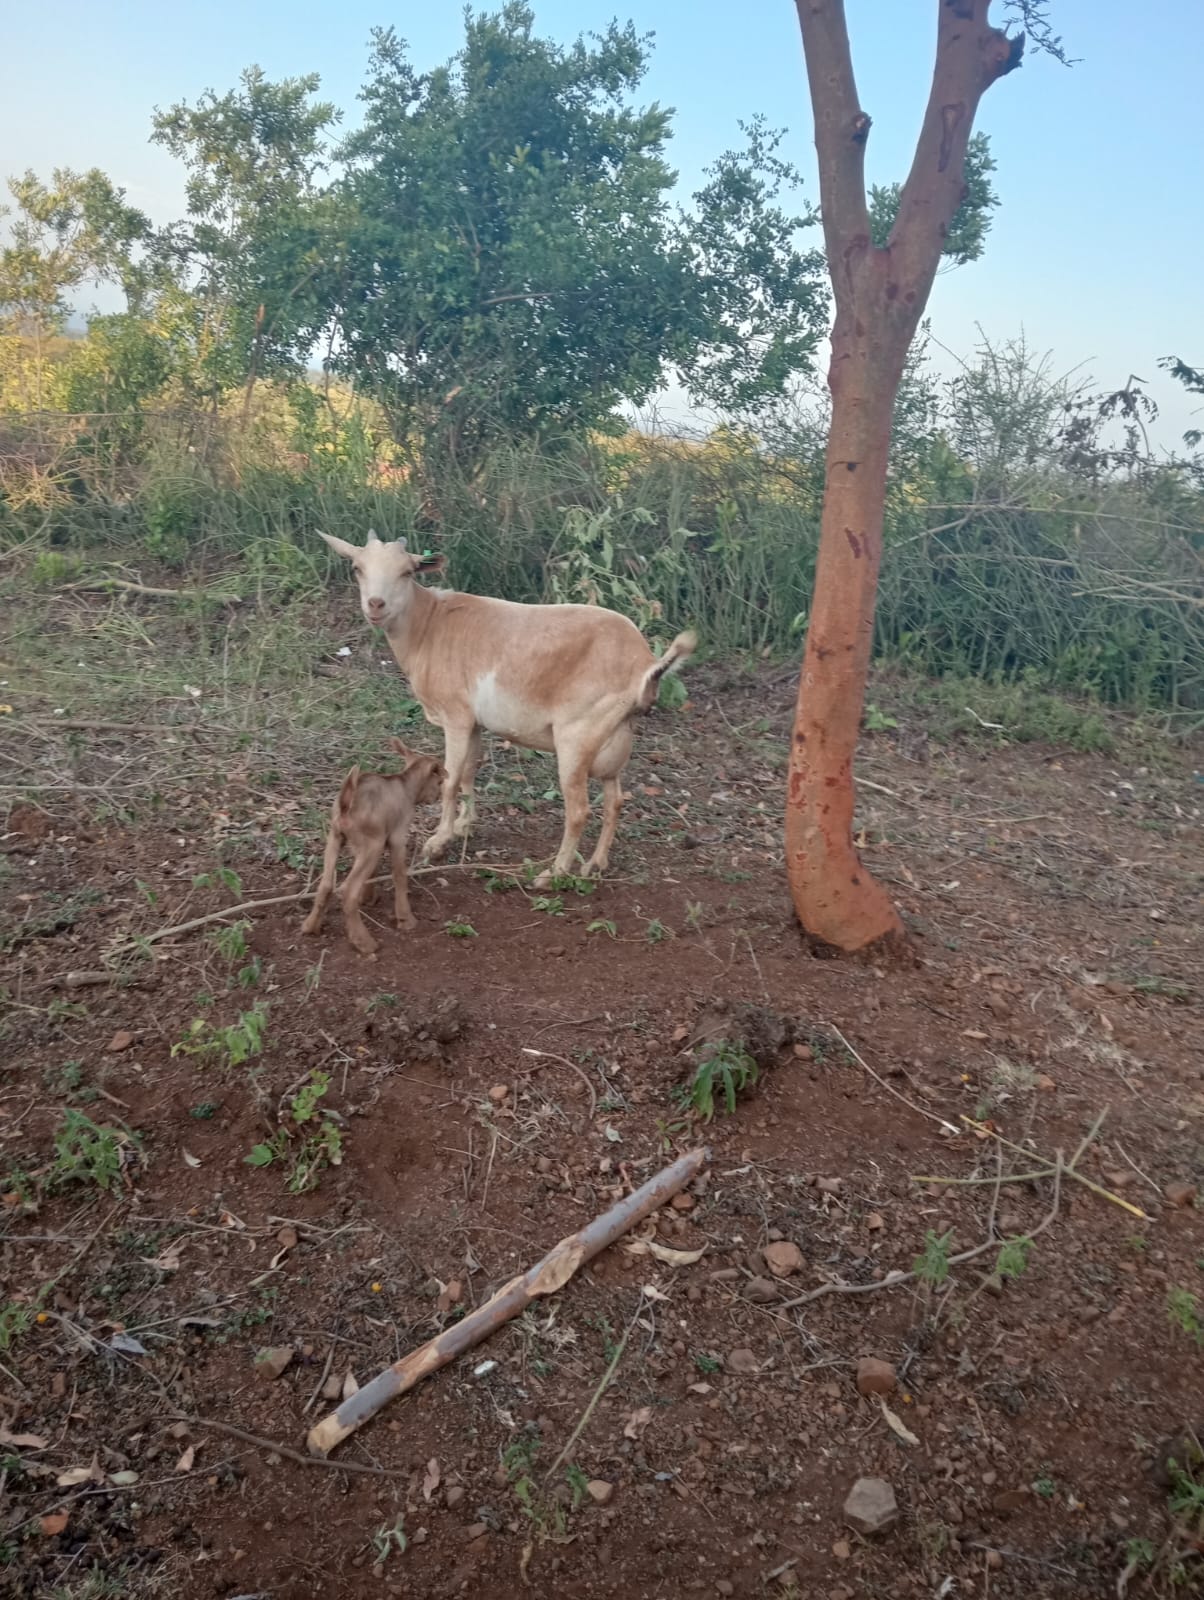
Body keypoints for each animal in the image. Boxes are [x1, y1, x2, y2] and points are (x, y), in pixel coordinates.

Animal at [301, 737, 446, 956]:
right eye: (438, 781)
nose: (436, 797)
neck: (406, 786)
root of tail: (346, 804)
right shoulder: (397, 836)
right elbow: (399, 874)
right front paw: (406, 919)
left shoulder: (361, 844)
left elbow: (373, 872)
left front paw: (368, 898)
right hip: (372, 843)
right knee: (348, 890)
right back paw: (364, 943)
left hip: (336, 837)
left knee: (326, 884)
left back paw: (310, 926)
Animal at [318, 529, 696, 886]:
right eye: (357, 568)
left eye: (407, 571)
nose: (376, 604)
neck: (429, 625)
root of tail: (645, 665)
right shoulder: (474, 722)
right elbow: (469, 772)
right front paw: (464, 826)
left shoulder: (456, 716)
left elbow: (450, 779)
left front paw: (438, 841)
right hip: (612, 738)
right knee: (614, 799)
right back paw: (595, 864)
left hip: (578, 735)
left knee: (578, 811)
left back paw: (553, 873)